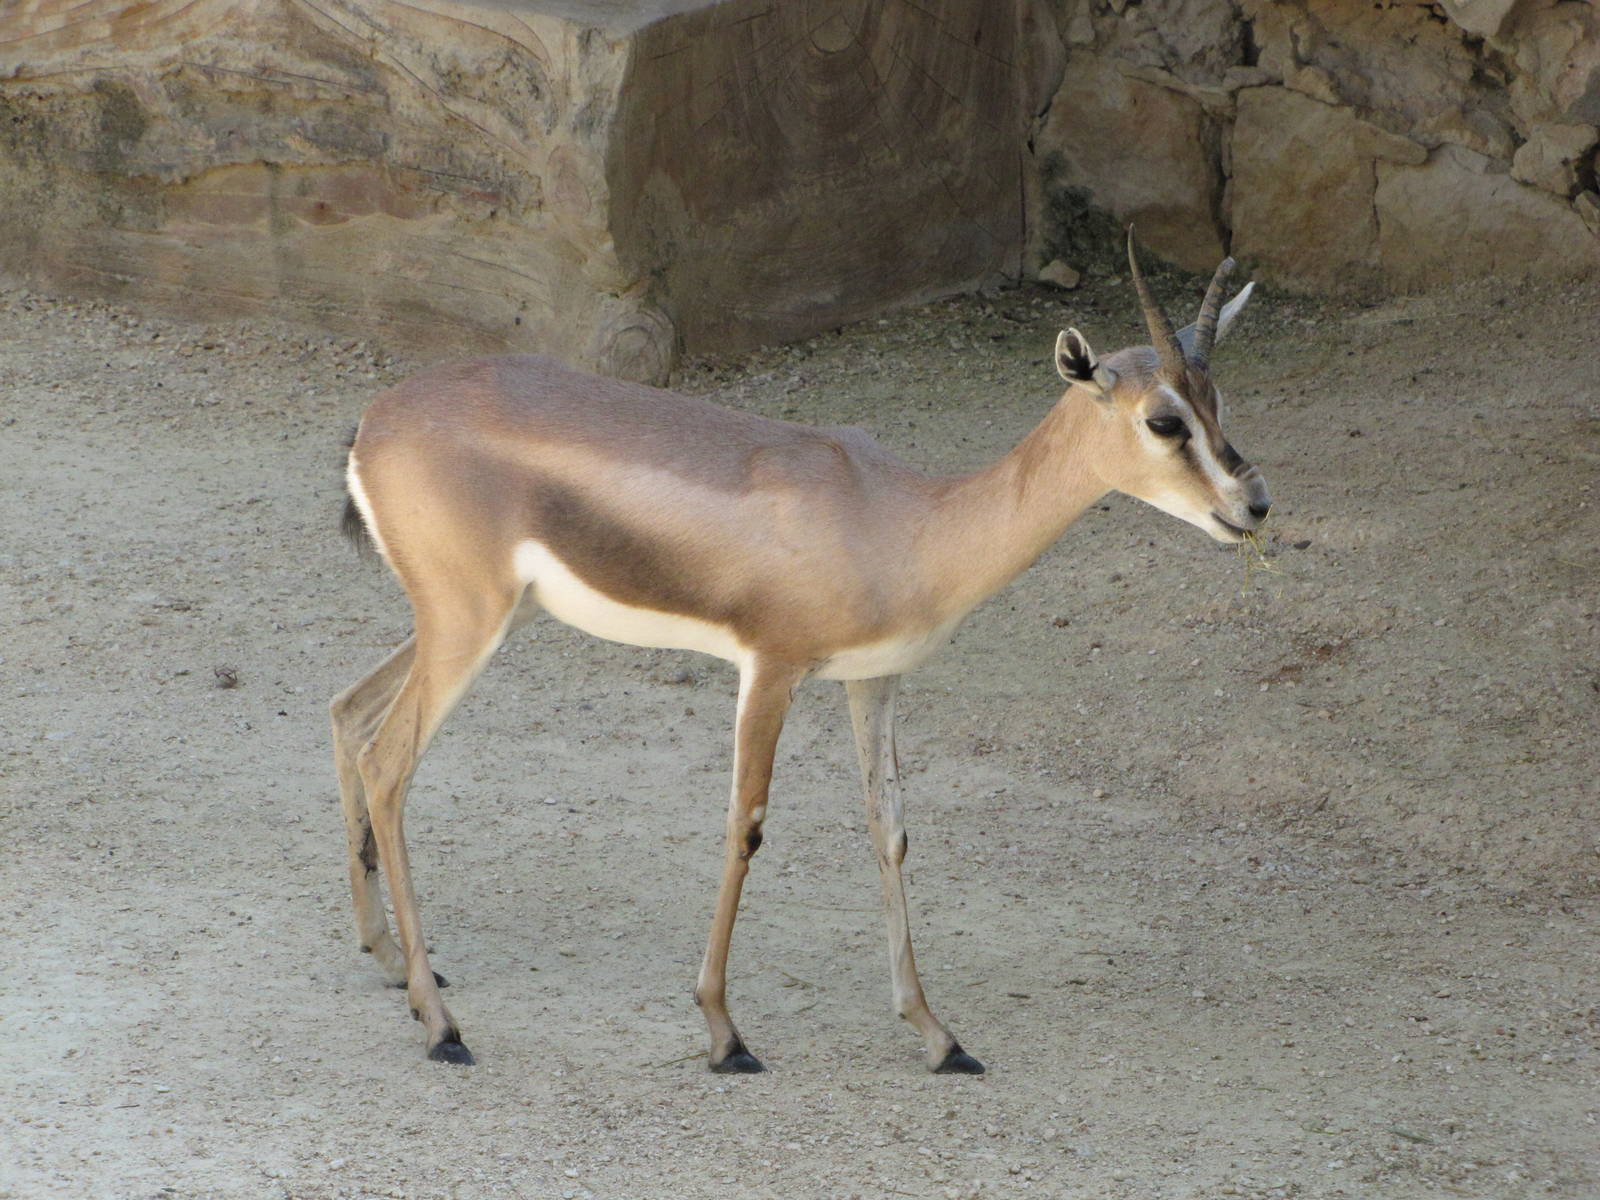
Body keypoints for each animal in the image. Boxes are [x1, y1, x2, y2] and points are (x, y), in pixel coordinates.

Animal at [331, 232, 1270, 1074]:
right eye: (1163, 420)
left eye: (1220, 403)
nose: (1253, 503)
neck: (901, 520)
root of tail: (375, 421)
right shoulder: (770, 670)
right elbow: (743, 824)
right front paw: (725, 1035)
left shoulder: (874, 680)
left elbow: (889, 830)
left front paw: (940, 1038)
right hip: (468, 624)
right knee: (388, 762)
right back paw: (443, 1028)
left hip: (483, 620)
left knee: (347, 712)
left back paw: (394, 967)